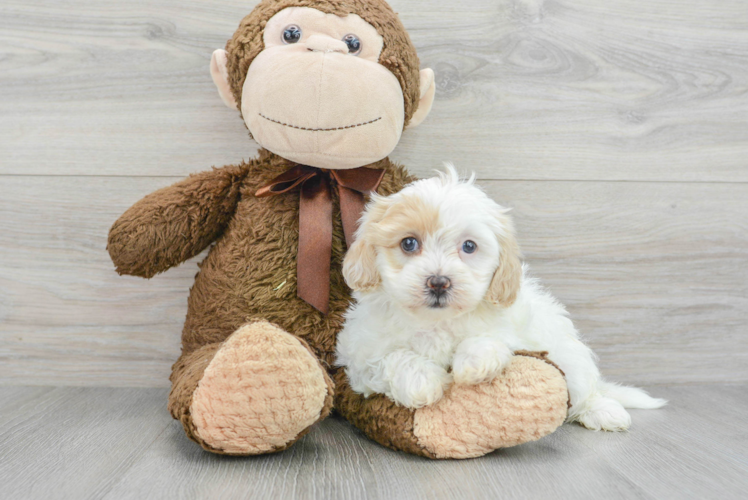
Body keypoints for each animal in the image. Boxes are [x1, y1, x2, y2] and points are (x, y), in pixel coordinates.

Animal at [334, 166, 668, 432]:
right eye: (408, 243)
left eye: (469, 246)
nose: (439, 282)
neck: (437, 322)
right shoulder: (360, 355)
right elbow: (391, 358)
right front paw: (422, 381)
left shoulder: (515, 331)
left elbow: (491, 339)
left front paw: (473, 363)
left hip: (569, 354)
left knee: (584, 388)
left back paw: (603, 410)